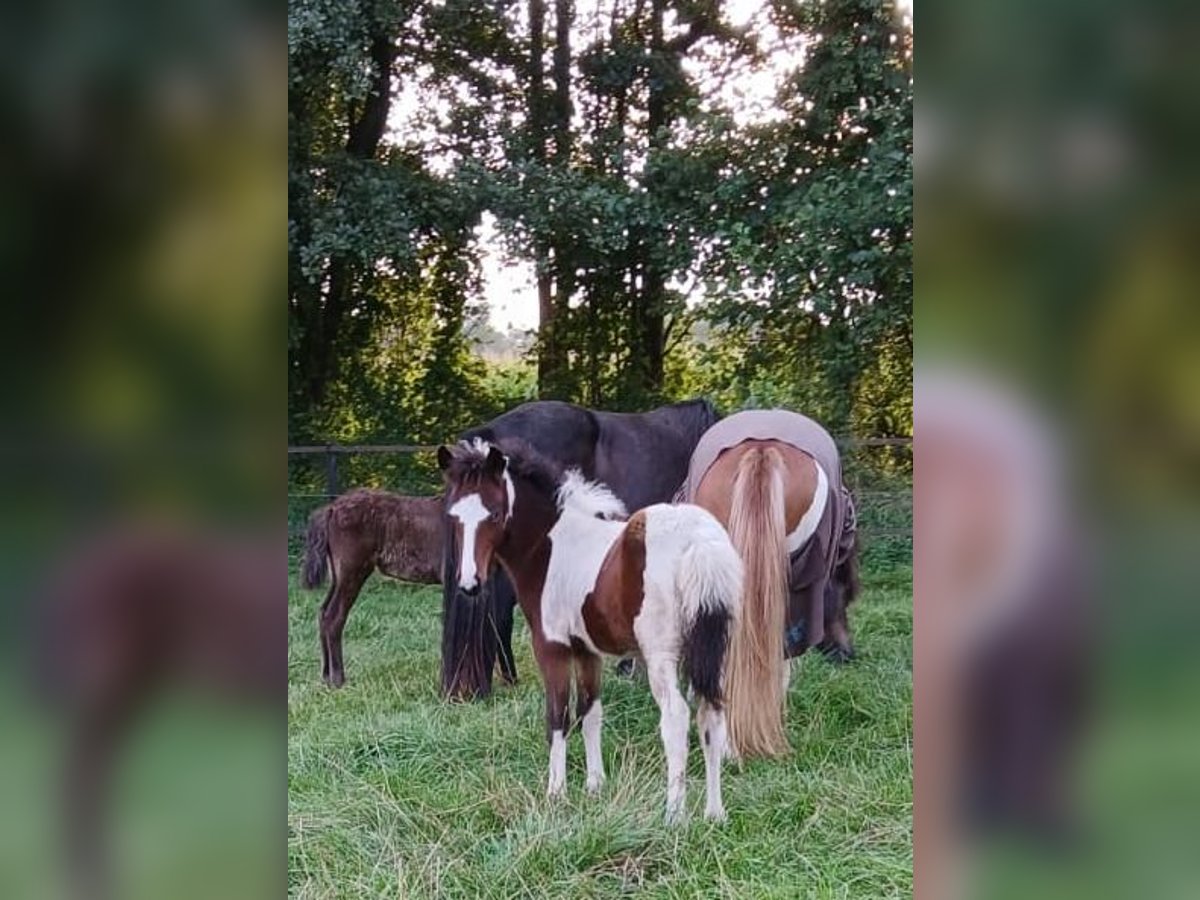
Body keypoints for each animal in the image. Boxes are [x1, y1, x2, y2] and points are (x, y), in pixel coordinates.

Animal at [300, 489, 516, 686]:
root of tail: (331, 509)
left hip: (338, 576)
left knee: (323, 613)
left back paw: (326, 676)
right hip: (352, 571)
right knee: (334, 617)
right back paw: (337, 679)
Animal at [441, 439, 739, 825]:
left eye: (493, 514)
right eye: (453, 517)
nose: (469, 584)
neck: (548, 546)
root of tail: (699, 541)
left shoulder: (551, 646)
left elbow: (558, 715)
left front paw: (556, 792)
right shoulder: (587, 650)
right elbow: (591, 711)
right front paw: (595, 785)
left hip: (663, 656)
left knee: (675, 718)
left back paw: (674, 815)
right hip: (715, 649)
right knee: (712, 714)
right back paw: (715, 813)